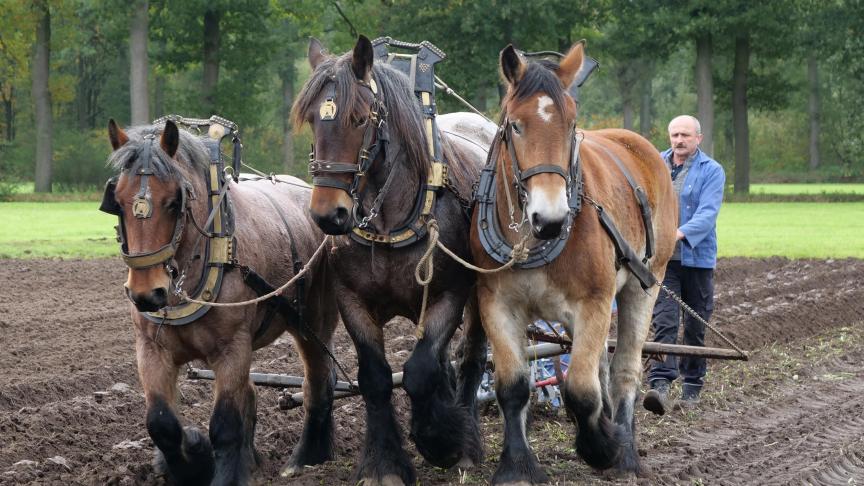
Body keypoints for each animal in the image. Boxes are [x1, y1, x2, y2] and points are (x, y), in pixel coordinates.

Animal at [102, 118, 340, 486]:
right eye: (118, 200)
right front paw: (190, 462)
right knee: (254, 394)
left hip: (313, 322)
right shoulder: (151, 348)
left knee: (318, 385)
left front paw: (221, 471)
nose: (146, 293)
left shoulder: (232, 348)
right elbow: (162, 424)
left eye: (173, 202)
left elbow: (226, 424)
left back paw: (306, 459)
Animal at [292, 36, 496, 484]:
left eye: (358, 118)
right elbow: (376, 378)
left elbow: (420, 372)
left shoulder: (448, 295)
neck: (389, 220)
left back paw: (466, 442)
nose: (329, 215)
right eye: (313, 119)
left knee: (471, 357)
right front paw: (383, 465)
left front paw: (440, 441)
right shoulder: (351, 300)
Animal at [470, 43, 680, 484]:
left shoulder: (594, 302)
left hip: (645, 284)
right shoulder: (496, 303)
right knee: (599, 365)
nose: (550, 219)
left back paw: (625, 449)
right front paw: (517, 465)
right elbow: (512, 386)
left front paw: (602, 447)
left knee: (622, 371)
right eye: (516, 125)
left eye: (571, 126)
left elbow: (582, 389)